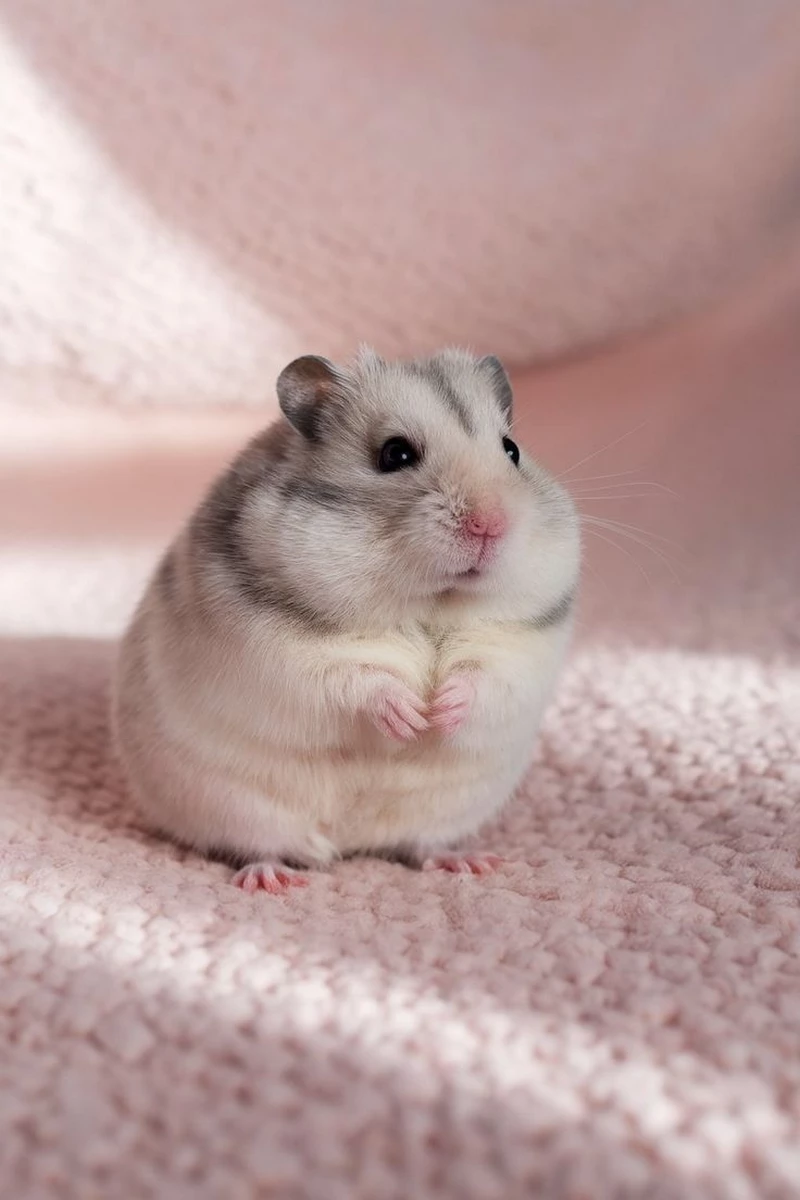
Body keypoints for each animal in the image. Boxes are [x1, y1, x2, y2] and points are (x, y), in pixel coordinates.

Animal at [111, 348, 580, 892]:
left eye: (511, 450)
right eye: (395, 455)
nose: (491, 524)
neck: (427, 606)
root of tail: (352, 844)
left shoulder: (522, 647)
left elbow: (483, 678)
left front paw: (438, 712)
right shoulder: (280, 656)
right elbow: (356, 680)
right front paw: (412, 716)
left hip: (445, 812)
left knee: (422, 844)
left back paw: (469, 863)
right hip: (235, 807)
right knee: (261, 846)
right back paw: (273, 881)